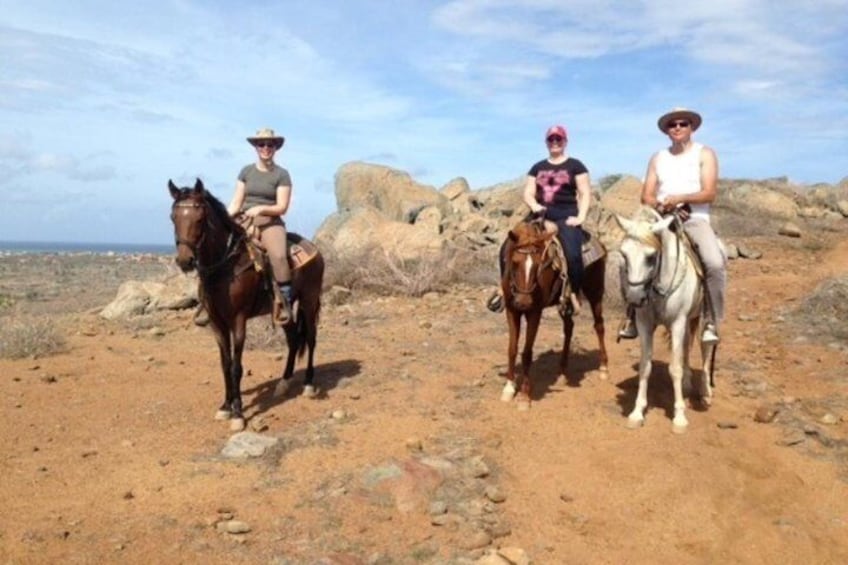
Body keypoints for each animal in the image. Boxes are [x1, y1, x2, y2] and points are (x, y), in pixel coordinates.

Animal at [167, 178, 322, 430]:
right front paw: (225, 406)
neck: (225, 268)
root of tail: (315, 249)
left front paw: (238, 413)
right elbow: (224, 364)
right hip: (285, 311)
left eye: (199, 219)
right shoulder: (217, 323)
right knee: (293, 339)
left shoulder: (238, 320)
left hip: (309, 301)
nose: (185, 261)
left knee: (310, 339)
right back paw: (284, 382)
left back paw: (308, 384)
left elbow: (236, 367)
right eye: (173, 217)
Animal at [496, 217, 608, 410]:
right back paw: (562, 372)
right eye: (515, 263)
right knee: (569, 328)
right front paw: (509, 388)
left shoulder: (534, 312)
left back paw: (603, 368)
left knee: (599, 325)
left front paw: (524, 396)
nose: (523, 302)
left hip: (595, 292)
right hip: (565, 302)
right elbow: (512, 349)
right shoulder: (512, 310)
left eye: (538, 265)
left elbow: (527, 353)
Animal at [616, 207, 716, 432]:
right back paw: (688, 383)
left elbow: (674, 368)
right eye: (624, 254)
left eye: (651, 257)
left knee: (705, 348)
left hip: (702, 318)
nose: (634, 299)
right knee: (687, 346)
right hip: (689, 319)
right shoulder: (645, 324)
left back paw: (706, 392)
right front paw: (637, 413)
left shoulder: (677, 322)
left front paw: (679, 417)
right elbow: (645, 367)